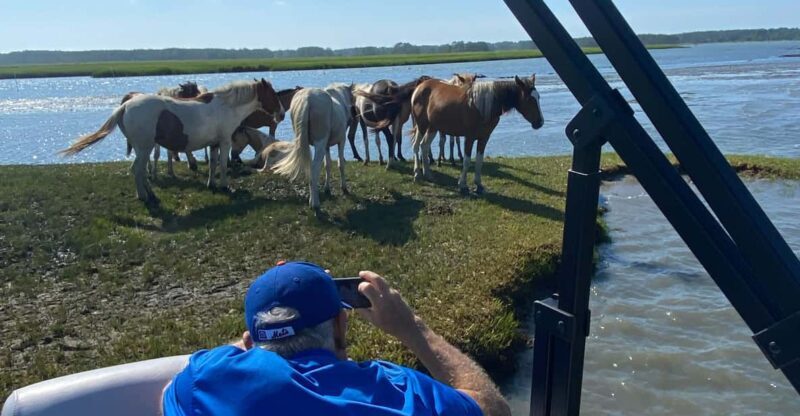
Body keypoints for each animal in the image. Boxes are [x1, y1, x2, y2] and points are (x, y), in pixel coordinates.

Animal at [61, 79, 283, 203]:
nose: (281, 113)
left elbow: (212, 164)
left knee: (141, 171)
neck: (225, 106)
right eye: (272, 94)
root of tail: (125, 106)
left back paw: (150, 194)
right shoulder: (224, 142)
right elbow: (221, 164)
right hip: (144, 148)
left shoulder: (213, 144)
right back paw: (145, 197)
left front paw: (212, 184)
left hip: (143, 149)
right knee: (137, 170)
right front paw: (224, 186)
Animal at [360, 74, 544, 195]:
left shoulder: (484, 138)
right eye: (530, 99)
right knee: (416, 146)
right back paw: (417, 174)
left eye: (538, 97)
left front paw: (479, 185)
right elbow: (467, 161)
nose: (540, 122)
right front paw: (463, 185)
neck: (483, 105)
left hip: (433, 128)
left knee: (424, 147)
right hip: (422, 125)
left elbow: (479, 161)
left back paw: (428, 173)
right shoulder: (469, 137)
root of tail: (420, 86)